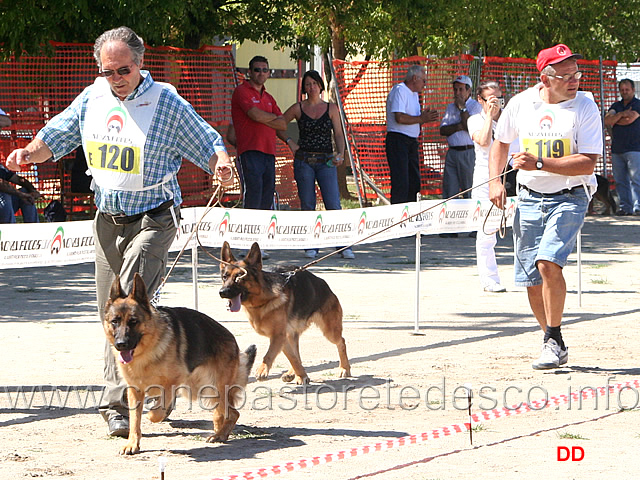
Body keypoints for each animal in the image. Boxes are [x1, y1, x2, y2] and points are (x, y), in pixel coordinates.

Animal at [104, 272, 256, 456]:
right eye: (115, 321)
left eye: (133, 321)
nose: (121, 344)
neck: (147, 352)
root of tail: (232, 339)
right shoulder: (134, 391)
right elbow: (134, 420)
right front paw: (132, 444)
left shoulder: (172, 384)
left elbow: (157, 411)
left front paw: (153, 415)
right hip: (205, 391)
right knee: (222, 413)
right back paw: (218, 431)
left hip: (213, 389)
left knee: (233, 413)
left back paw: (220, 435)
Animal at [219, 242, 350, 384]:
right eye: (225, 277)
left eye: (239, 277)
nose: (222, 292)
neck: (262, 300)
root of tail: (324, 284)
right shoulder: (281, 336)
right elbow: (293, 358)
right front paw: (301, 375)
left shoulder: (278, 335)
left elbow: (269, 354)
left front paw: (262, 370)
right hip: (291, 335)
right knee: (296, 353)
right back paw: (293, 373)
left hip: (329, 331)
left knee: (341, 341)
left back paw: (344, 368)